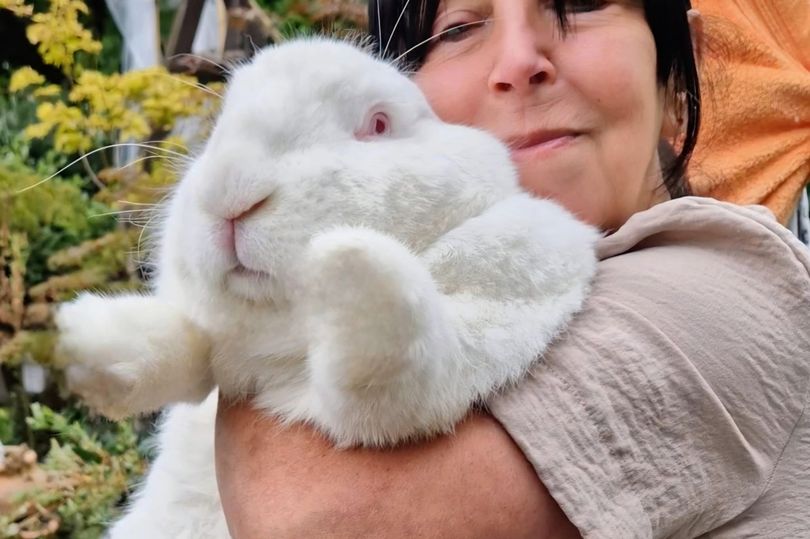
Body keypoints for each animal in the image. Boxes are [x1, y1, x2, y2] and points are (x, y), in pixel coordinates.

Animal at [56, 37, 599, 538]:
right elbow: (188, 347)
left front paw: (345, 259)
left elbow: (397, 364)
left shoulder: (496, 300)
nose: (227, 193)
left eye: (378, 124)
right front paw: (85, 338)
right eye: (218, 129)